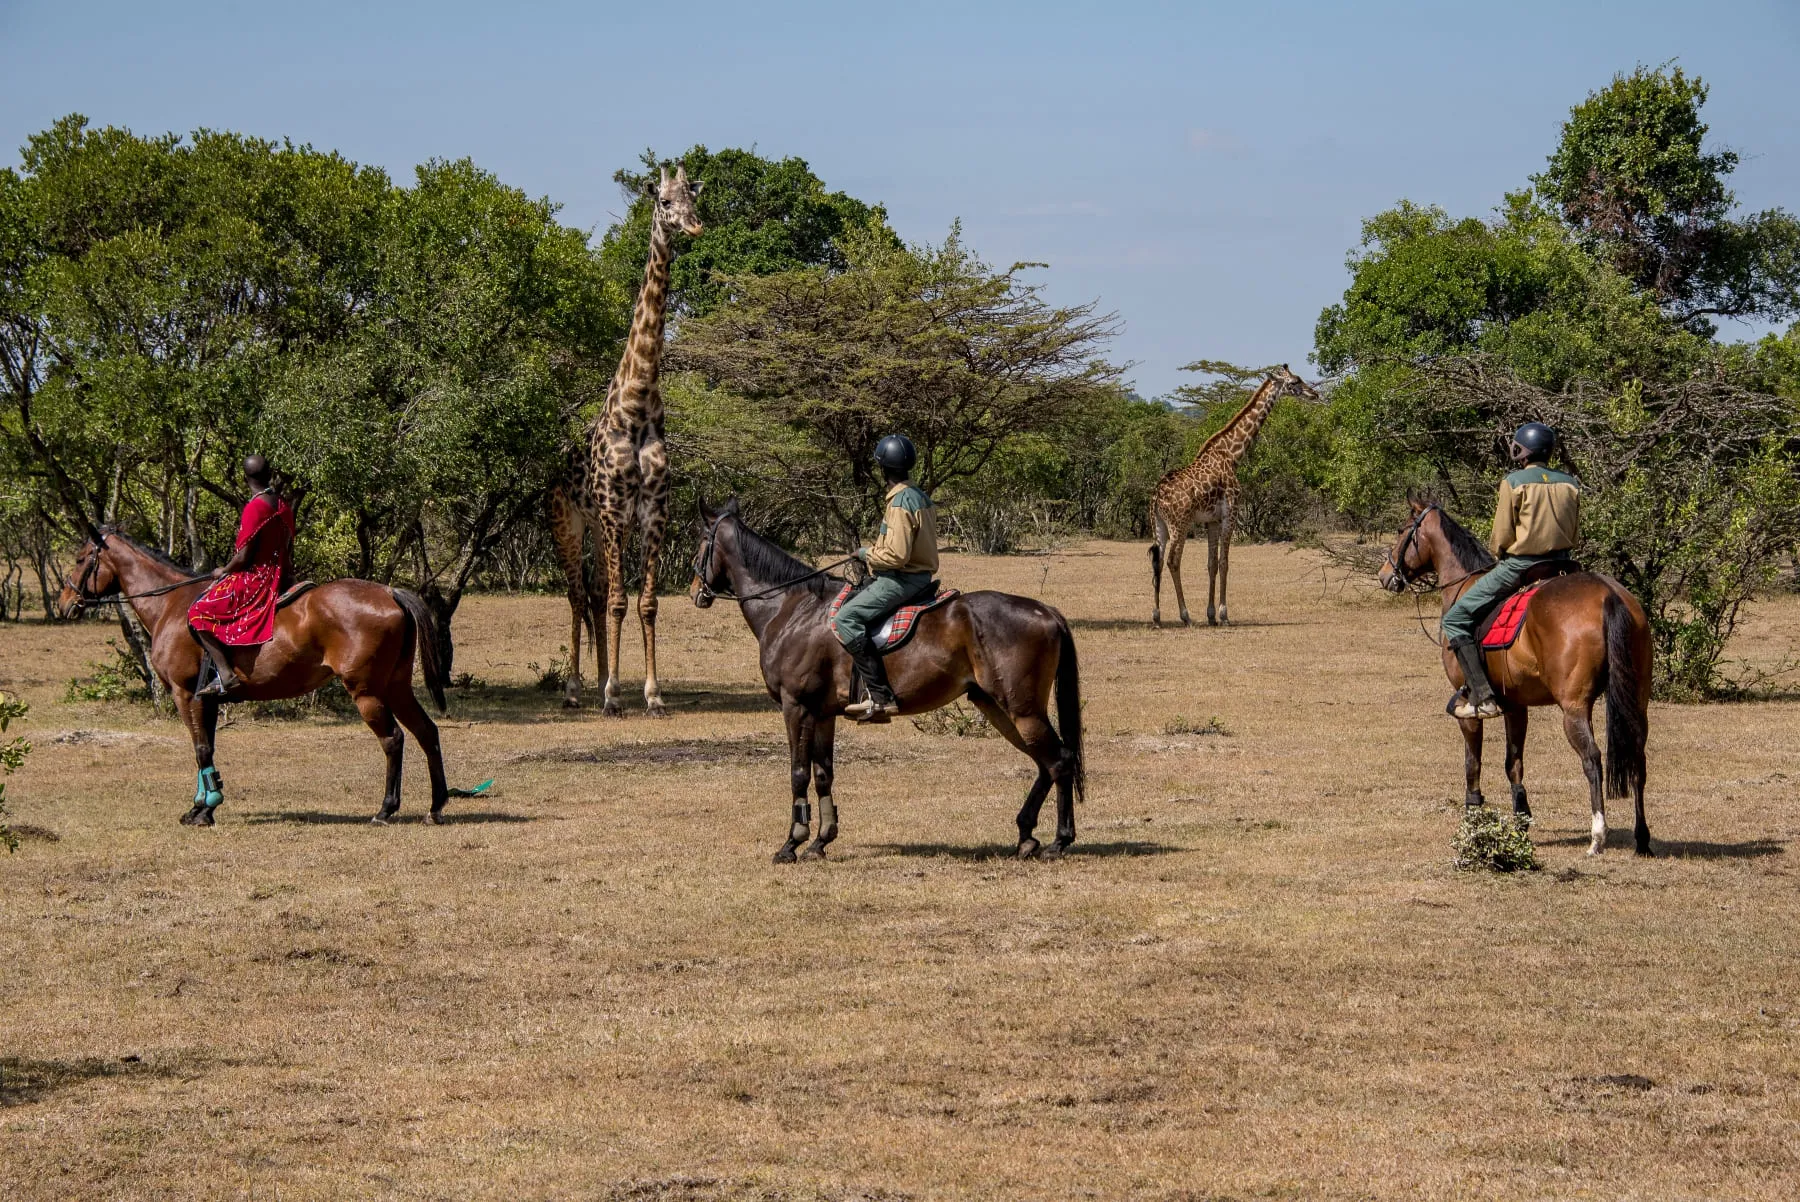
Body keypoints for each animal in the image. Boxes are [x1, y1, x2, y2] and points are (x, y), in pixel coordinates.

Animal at [57, 528, 452, 826]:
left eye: (80, 559)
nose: (65, 603)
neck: (171, 605)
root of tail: (389, 592)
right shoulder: (207, 700)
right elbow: (207, 749)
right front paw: (203, 805)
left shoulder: (184, 695)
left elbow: (200, 749)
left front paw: (204, 809)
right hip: (396, 687)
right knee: (426, 732)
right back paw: (436, 806)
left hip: (367, 692)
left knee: (393, 740)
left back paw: (385, 810)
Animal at [689, 499, 1085, 862]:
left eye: (701, 541)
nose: (695, 591)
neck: (792, 609)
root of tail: (1045, 610)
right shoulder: (823, 713)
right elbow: (823, 774)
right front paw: (821, 841)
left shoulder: (796, 706)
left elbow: (798, 773)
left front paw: (791, 844)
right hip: (997, 707)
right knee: (1045, 763)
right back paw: (1027, 836)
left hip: (1021, 708)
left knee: (1059, 760)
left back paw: (1058, 841)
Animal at [1377, 500, 1652, 855]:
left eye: (1401, 531)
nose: (1385, 575)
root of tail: (1608, 595)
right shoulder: (1516, 706)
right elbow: (1513, 763)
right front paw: (1521, 820)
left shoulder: (1470, 713)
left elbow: (1473, 764)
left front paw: (1473, 817)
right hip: (1636, 702)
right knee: (1637, 758)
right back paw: (1642, 838)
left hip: (1574, 708)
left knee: (1592, 759)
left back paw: (1597, 837)